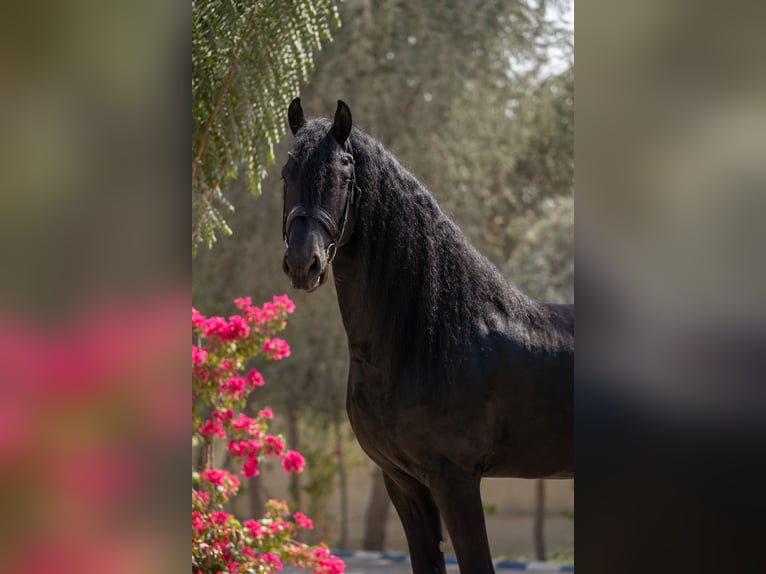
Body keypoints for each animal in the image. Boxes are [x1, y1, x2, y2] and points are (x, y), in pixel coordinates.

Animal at [281, 98, 573, 574]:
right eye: (287, 173)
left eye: (343, 175)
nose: (304, 264)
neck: (427, 339)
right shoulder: (404, 483)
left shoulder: (455, 480)